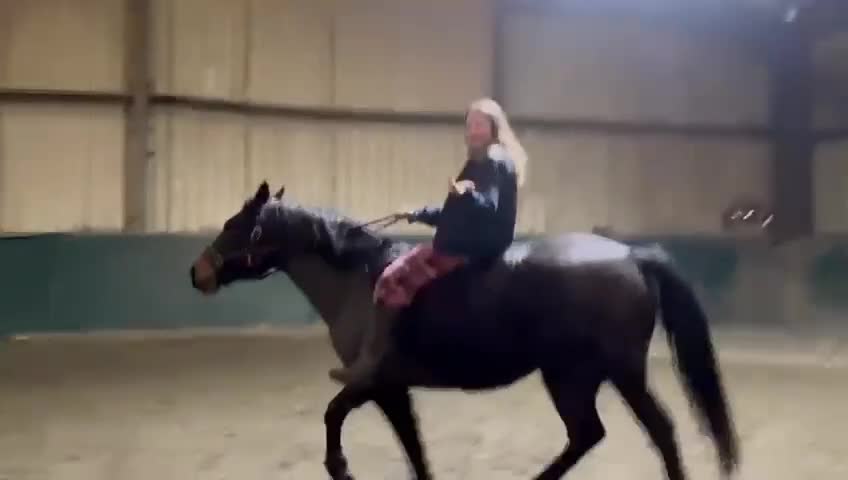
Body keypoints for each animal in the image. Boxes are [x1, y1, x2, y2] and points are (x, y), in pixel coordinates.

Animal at [189, 181, 740, 480]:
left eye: (236, 225)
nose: (197, 272)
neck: (358, 278)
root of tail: (630, 255)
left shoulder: (372, 382)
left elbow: (334, 415)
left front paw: (340, 466)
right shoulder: (392, 389)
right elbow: (413, 447)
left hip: (617, 372)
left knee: (658, 431)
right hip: (572, 376)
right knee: (587, 434)